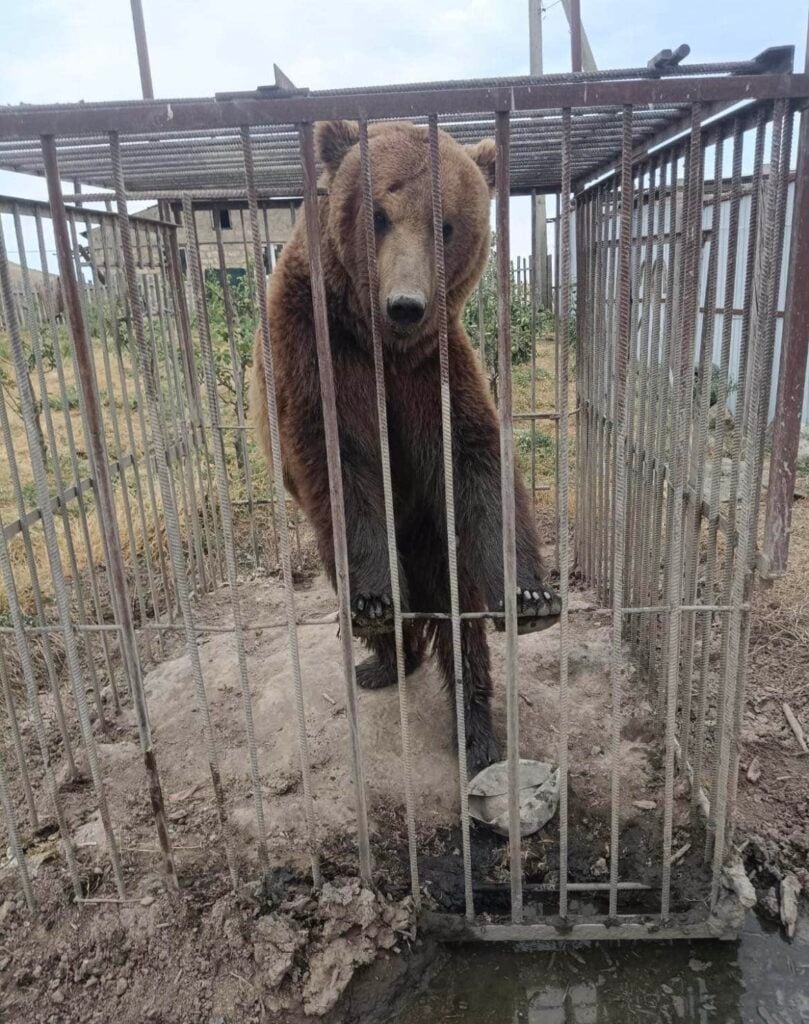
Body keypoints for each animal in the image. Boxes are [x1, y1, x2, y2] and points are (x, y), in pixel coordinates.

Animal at [250, 119, 561, 772]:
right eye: (380, 214)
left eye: (447, 224)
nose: (406, 304)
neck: (382, 345)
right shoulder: (316, 352)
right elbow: (341, 459)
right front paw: (374, 603)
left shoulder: (433, 370)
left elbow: (478, 458)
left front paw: (532, 596)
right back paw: (382, 654)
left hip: (433, 530)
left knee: (458, 613)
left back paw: (476, 732)